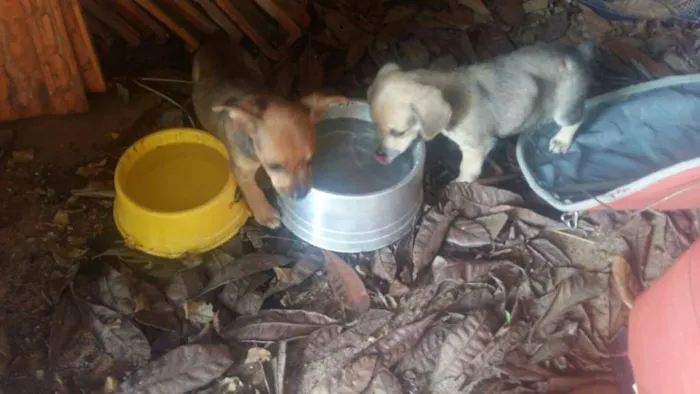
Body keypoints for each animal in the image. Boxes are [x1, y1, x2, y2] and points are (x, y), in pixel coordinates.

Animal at [193, 37, 346, 228]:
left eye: (310, 161)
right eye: (275, 166)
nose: (300, 195)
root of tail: (216, 37)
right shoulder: (241, 170)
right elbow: (253, 189)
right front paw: (264, 213)